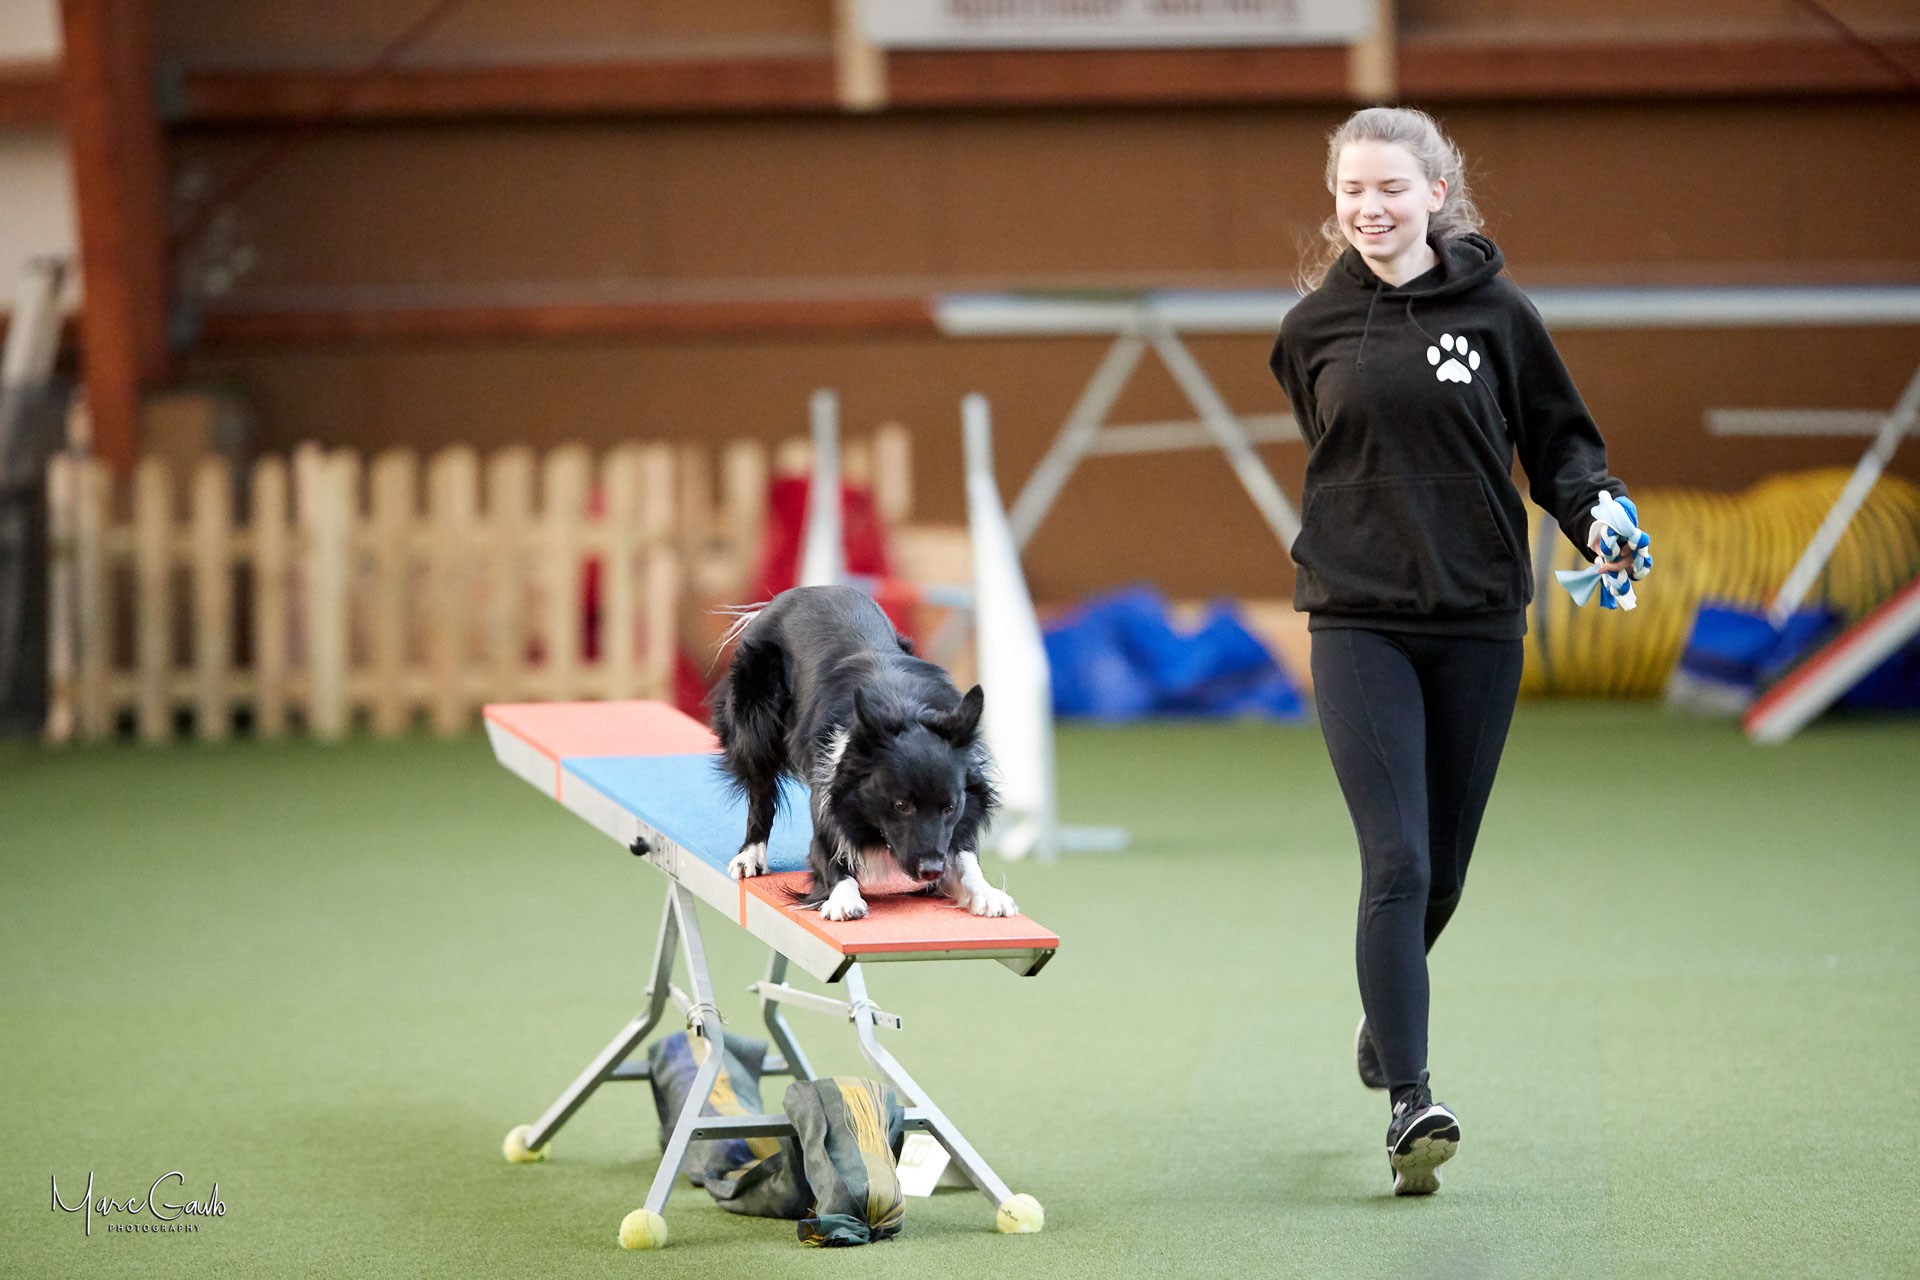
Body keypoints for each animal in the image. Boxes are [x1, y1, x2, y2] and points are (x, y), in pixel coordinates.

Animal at [710, 585, 1017, 923]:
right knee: (760, 793)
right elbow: (828, 859)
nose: (931, 871)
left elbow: (964, 859)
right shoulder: (828, 804)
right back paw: (749, 855)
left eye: (950, 808)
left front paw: (987, 893)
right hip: (755, 720)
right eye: (901, 805)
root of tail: (798, 593)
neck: (903, 709)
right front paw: (844, 898)